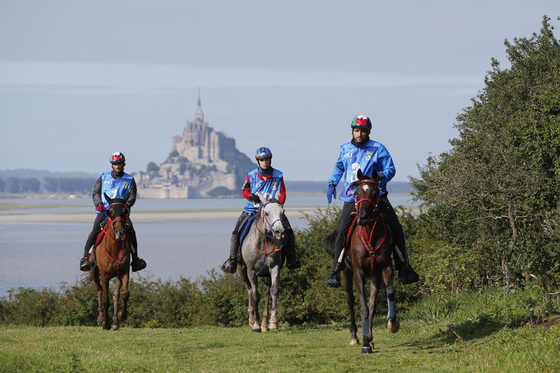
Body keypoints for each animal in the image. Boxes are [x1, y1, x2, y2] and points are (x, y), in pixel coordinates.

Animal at [87, 193, 131, 330]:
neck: (115, 247)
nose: (119, 231)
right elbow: (106, 300)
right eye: (109, 211)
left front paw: (122, 316)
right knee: (99, 290)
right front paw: (105, 323)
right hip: (94, 272)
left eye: (125, 211)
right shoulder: (104, 276)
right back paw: (101, 318)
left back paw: (115, 322)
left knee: (115, 295)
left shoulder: (124, 272)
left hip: (117, 275)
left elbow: (124, 294)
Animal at [237, 192, 286, 332]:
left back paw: (265, 324)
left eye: (282, 212)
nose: (280, 232)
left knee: (266, 292)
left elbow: (273, 291)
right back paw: (252, 320)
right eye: (267, 213)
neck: (263, 242)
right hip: (242, 270)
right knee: (249, 290)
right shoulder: (251, 270)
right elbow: (255, 295)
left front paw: (273, 322)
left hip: (266, 273)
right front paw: (256, 325)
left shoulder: (274, 268)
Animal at [324, 170, 398, 354]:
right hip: (346, 273)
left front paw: (392, 323)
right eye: (356, 193)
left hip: (374, 275)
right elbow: (363, 307)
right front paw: (364, 343)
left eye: (375, 193)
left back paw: (370, 337)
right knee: (350, 300)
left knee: (372, 304)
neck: (370, 234)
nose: (363, 218)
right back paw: (355, 336)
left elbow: (388, 292)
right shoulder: (358, 272)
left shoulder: (384, 267)